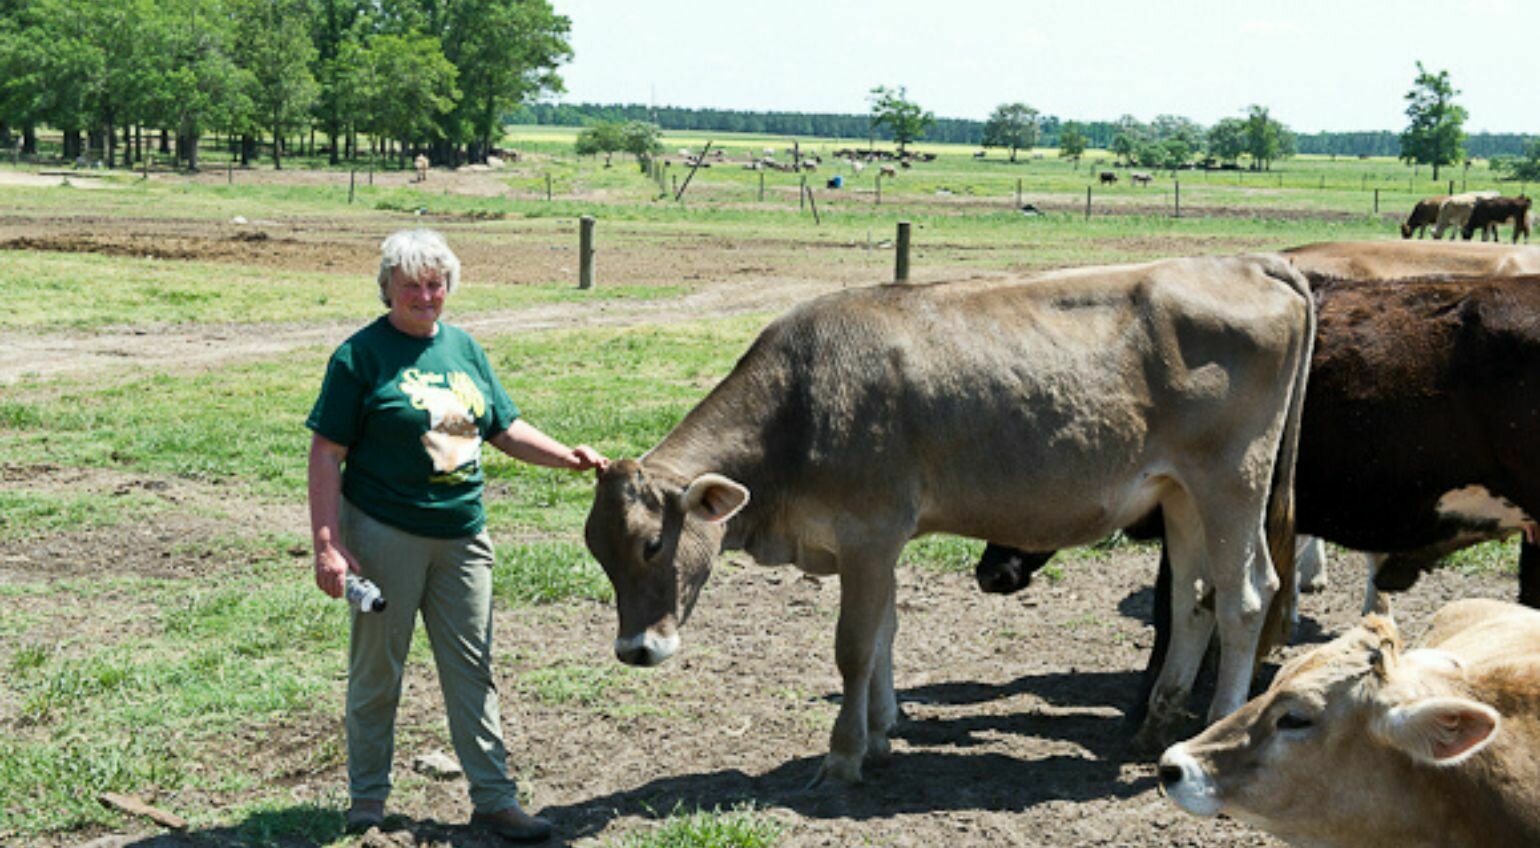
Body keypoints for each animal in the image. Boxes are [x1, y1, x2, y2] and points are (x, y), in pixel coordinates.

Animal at [585, 255, 1312, 787]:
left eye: (653, 544)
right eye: (599, 551)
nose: (636, 651)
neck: (798, 407)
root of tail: (1246, 261)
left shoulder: (869, 533)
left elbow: (855, 645)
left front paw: (844, 756)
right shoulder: (878, 543)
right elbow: (885, 632)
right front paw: (882, 732)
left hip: (1231, 479)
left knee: (1246, 599)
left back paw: (1217, 728)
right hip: (1181, 492)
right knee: (1193, 601)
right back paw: (1157, 725)